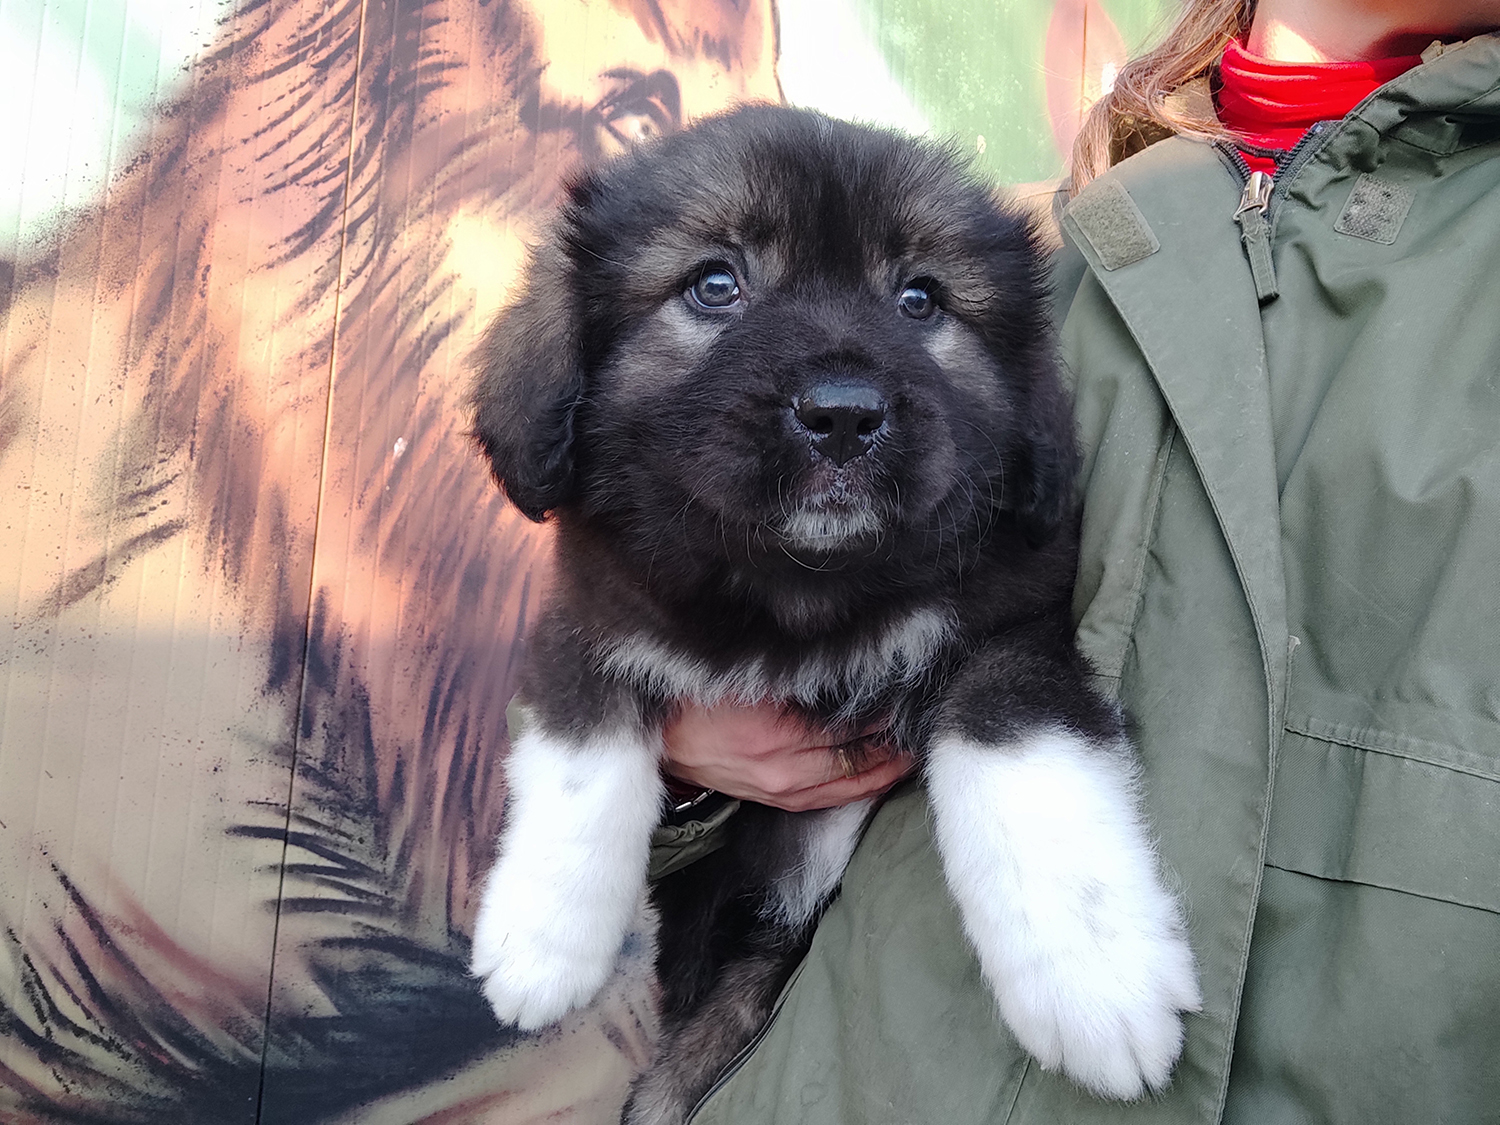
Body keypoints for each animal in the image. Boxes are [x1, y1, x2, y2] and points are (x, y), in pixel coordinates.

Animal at [465, 108, 1194, 1125]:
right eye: (715, 284)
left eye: (921, 299)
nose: (845, 414)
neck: (798, 595)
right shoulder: (590, 615)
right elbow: (583, 757)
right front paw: (541, 941)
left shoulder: (1011, 627)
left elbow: (1019, 757)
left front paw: (1094, 980)